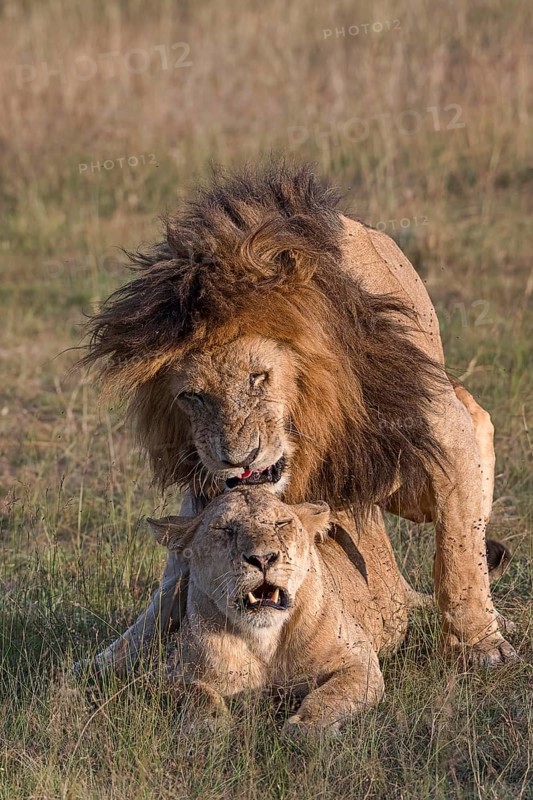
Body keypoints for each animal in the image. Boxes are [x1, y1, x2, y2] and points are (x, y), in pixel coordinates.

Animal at [82, 161, 516, 673]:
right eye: (192, 396)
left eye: (259, 377)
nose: (237, 459)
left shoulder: (428, 433)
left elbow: (459, 550)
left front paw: (480, 645)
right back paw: (113, 656)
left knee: (472, 443)